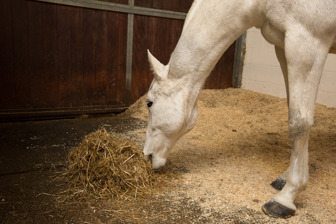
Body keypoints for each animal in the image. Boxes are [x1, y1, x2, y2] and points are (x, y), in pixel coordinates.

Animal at [142, 0, 336, 219]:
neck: (260, 4)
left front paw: (286, 197)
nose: (147, 156)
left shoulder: (307, 42)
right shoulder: (283, 47)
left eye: (149, 103)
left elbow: (299, 122)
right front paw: (285, 178)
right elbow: (293, 111)